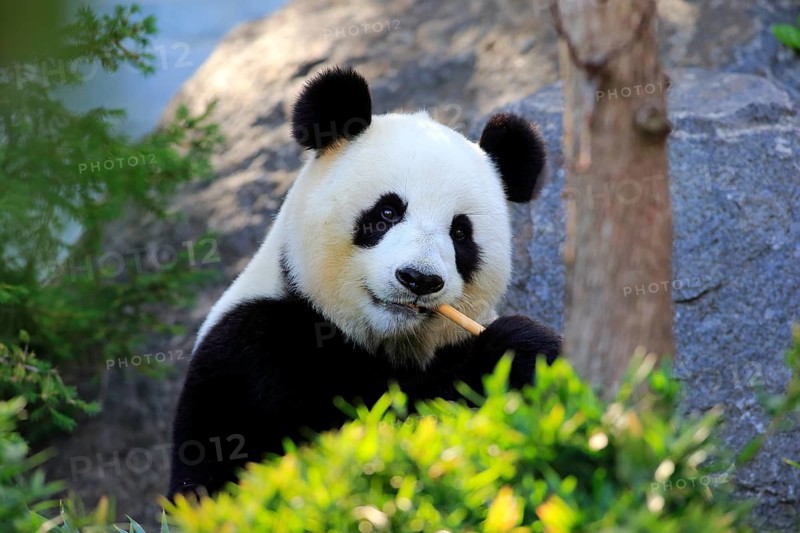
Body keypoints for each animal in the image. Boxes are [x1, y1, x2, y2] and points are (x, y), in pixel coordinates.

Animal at [167, 66, 561, 499]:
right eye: (387, 212)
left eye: (460, 233)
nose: (418, 279)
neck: (383, 339)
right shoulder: (251, 353)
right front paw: (510, 351)